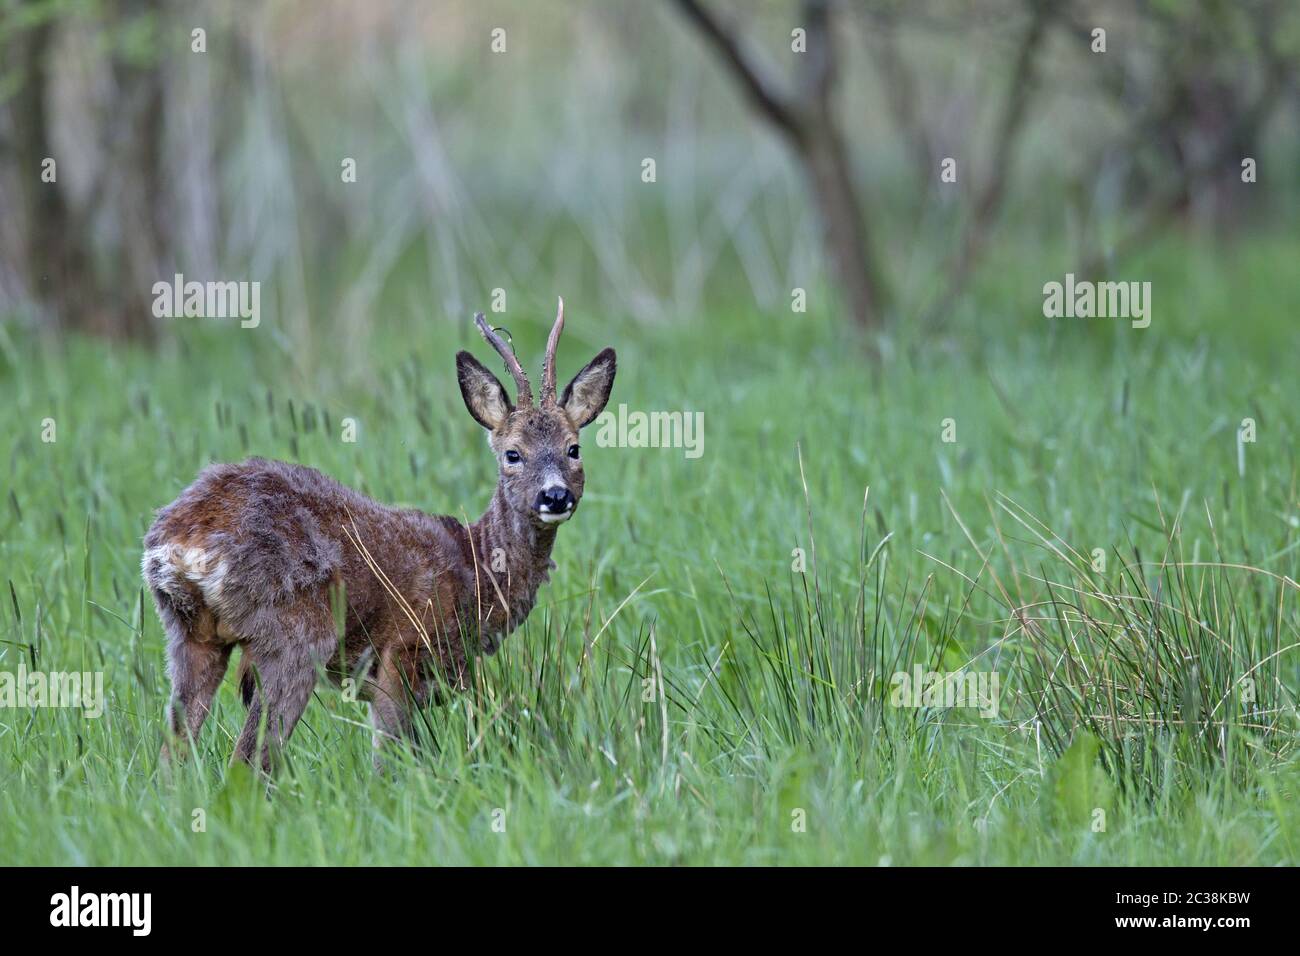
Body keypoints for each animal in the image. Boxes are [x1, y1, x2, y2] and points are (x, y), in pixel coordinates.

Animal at [144, 303, 611, 775]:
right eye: (513, 453)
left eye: (573, 448)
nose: (555, 495)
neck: (475, 572)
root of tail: (184, 539)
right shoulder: (401, 655)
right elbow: (389, 763)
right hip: (295, 635)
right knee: (249, 761)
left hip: (190, 634)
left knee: (172, 756)